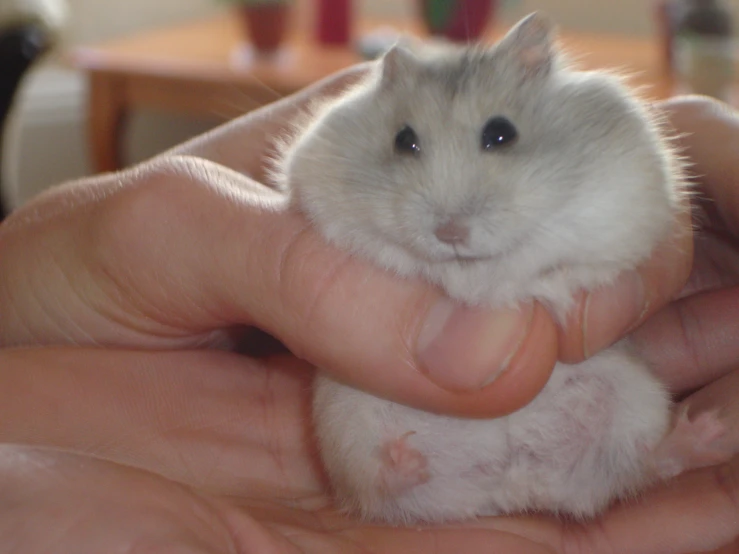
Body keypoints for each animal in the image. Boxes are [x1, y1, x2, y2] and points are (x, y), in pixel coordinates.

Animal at [278, 12, 700, 520]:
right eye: (403, 140)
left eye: (502, 133)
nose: (450, 233)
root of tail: (511, 484)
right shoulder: (319, 191)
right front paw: (458, 282)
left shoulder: (626, 200)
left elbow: (552, 258)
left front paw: (546, 298)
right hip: (347, 422)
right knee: (378, 487)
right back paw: (403, 459)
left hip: (636, 401)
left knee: (642, 467)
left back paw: (703, 431)